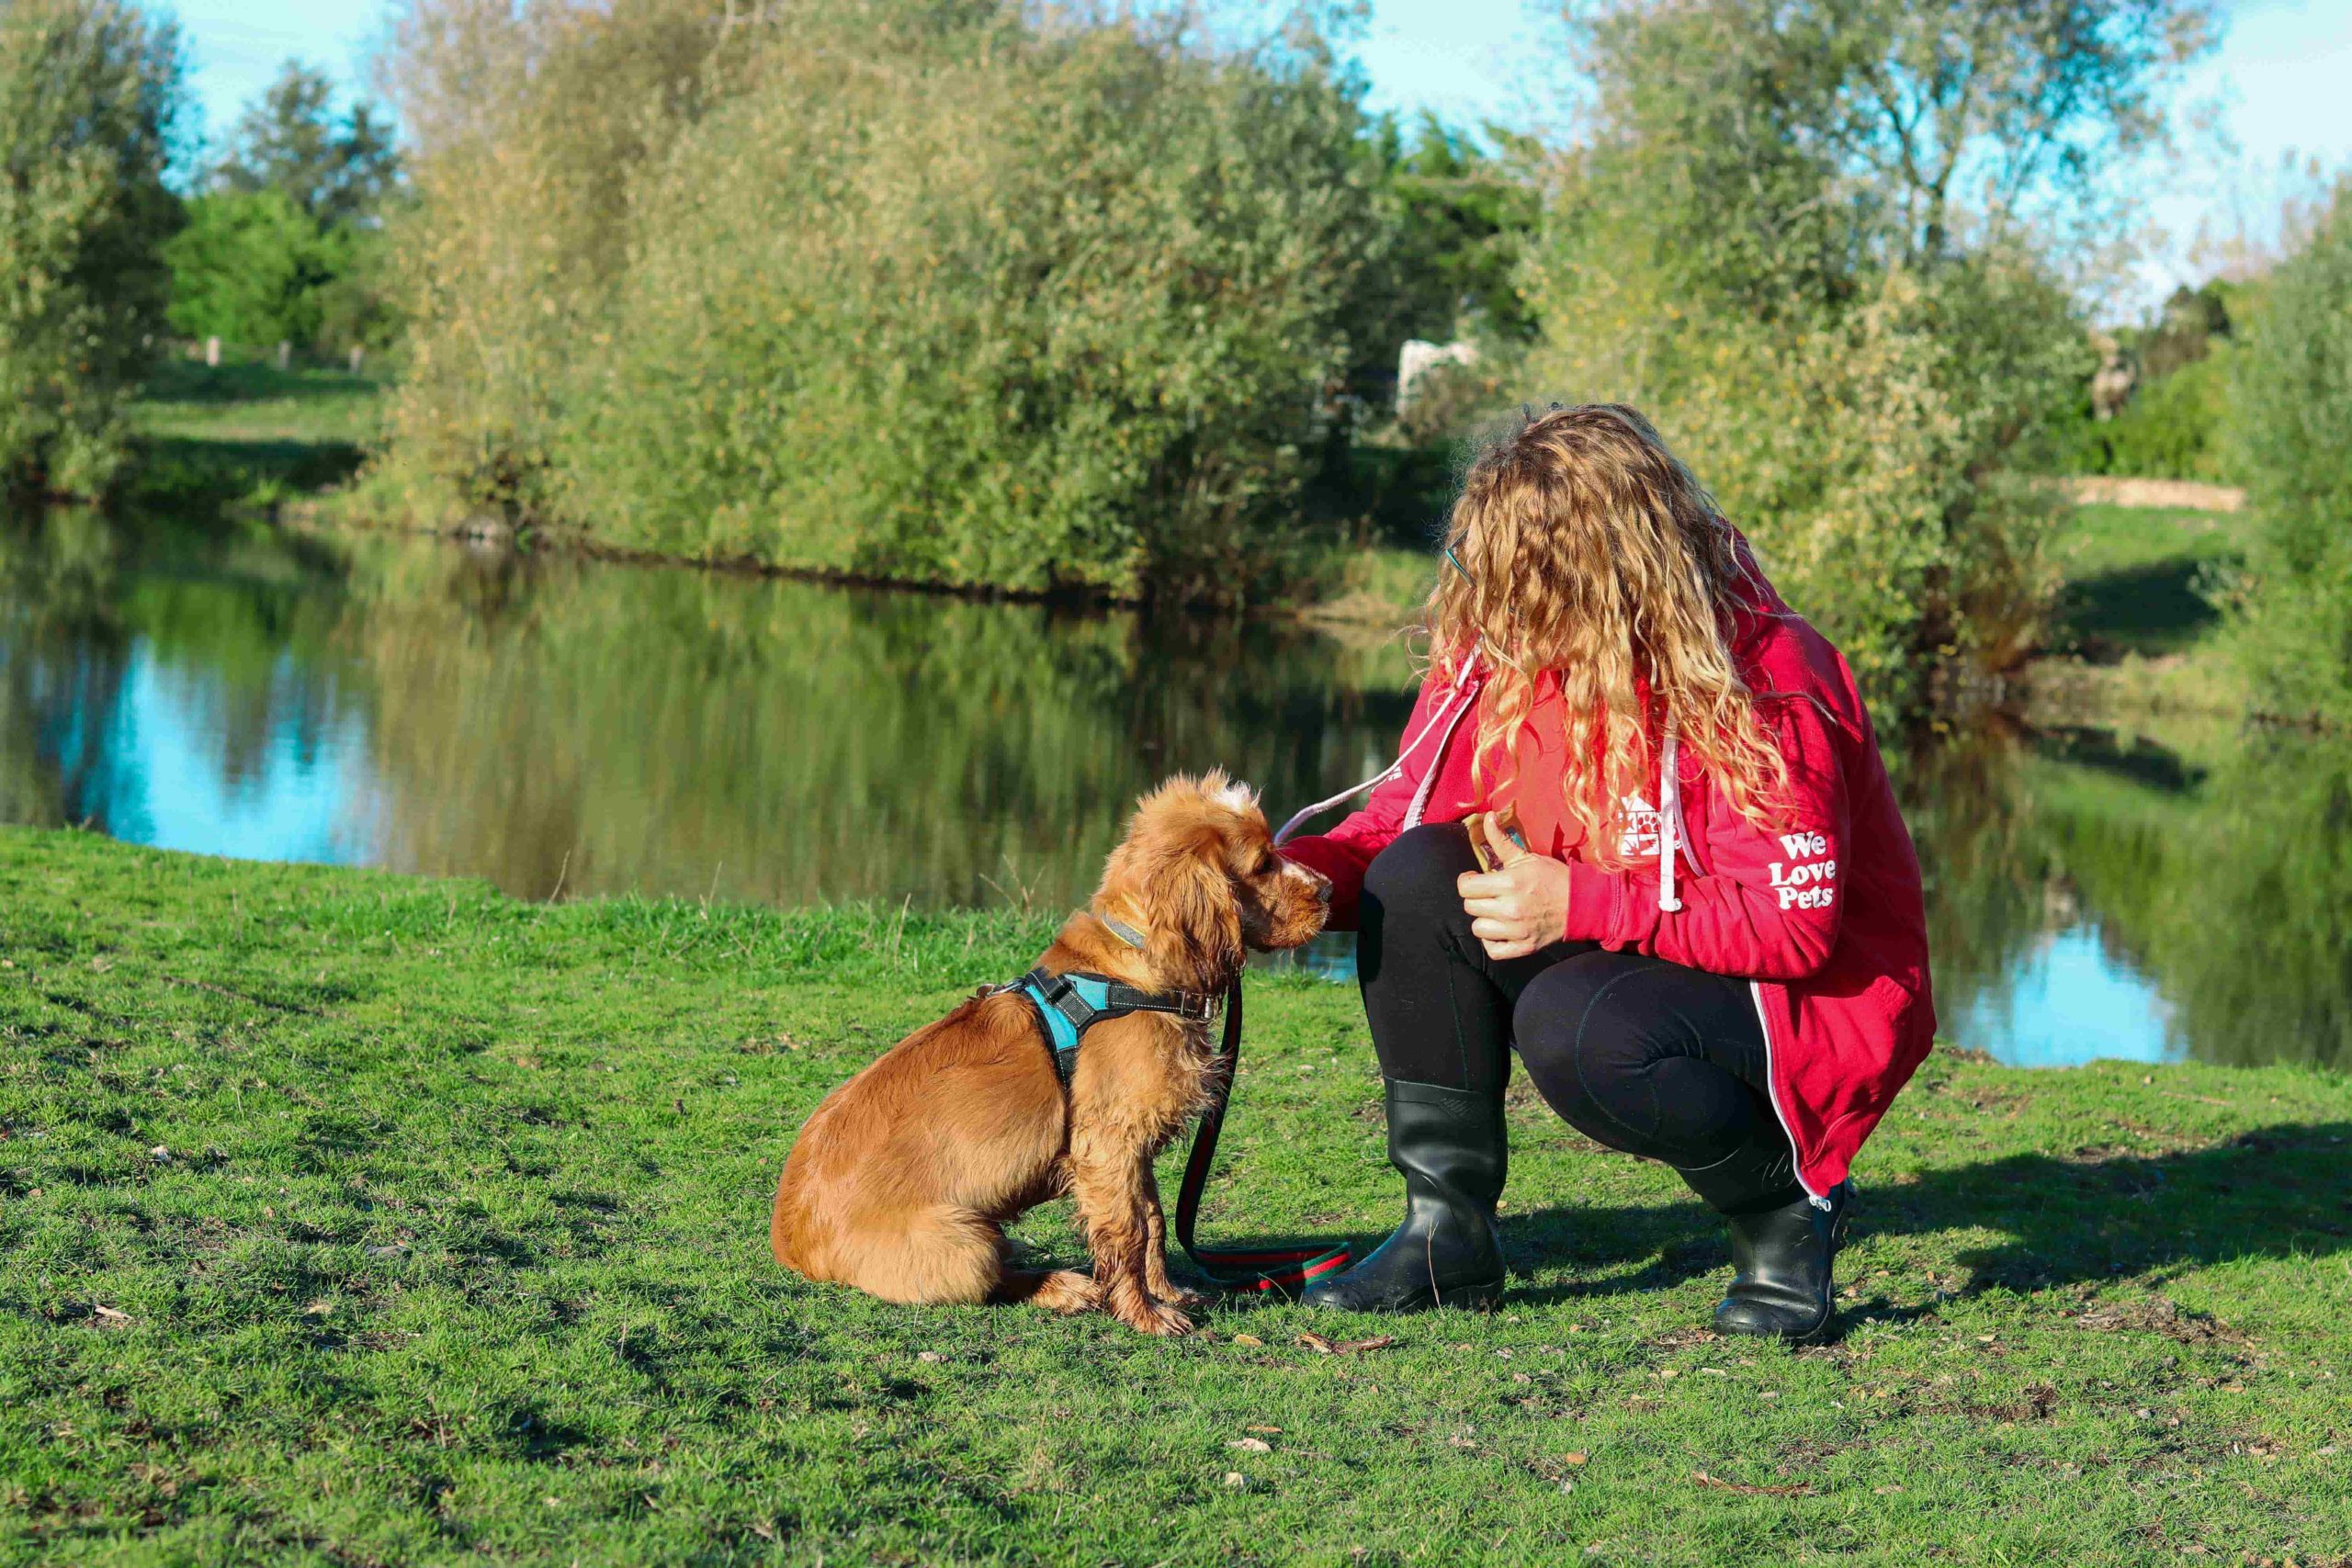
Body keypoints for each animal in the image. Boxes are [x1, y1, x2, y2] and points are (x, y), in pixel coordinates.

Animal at [771, 771, 1326, 1335]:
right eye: (1263, 863)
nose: (1327, 888)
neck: (1132, 971)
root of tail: (790, 1245)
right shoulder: (1108, 1144)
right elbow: (1129, 1232)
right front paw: (1145, 1314)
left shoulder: (1132, 1146)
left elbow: (1154, 1219)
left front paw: (1167, 1292)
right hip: (964, 1242)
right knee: (996, 1280)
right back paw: (1064, 1288)